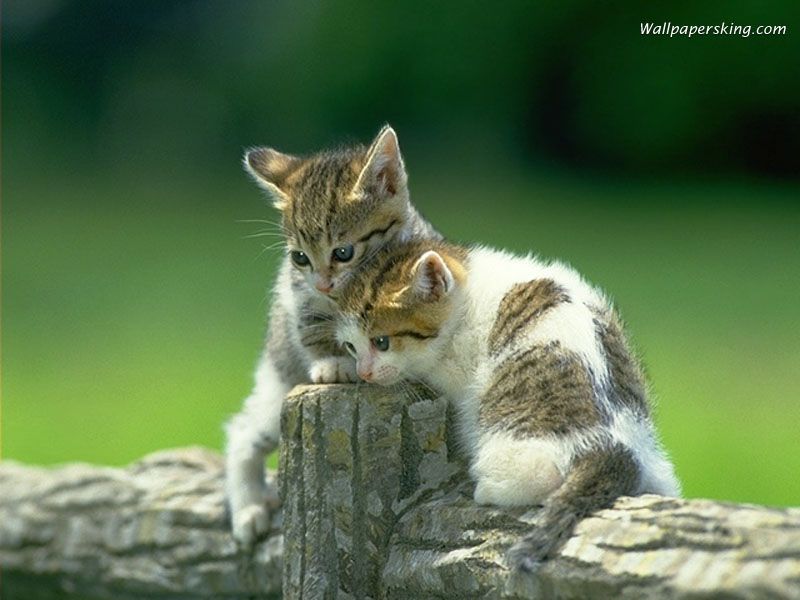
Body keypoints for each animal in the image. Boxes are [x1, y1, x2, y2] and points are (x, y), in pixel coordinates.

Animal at [225, 125, 440, 544]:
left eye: (343, 252)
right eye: (300, 258)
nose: (324, 284)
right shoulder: (300, 294)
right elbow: (314, 324)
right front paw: (334, 363)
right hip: (279, 380)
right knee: (242, 431)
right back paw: (247, 509)